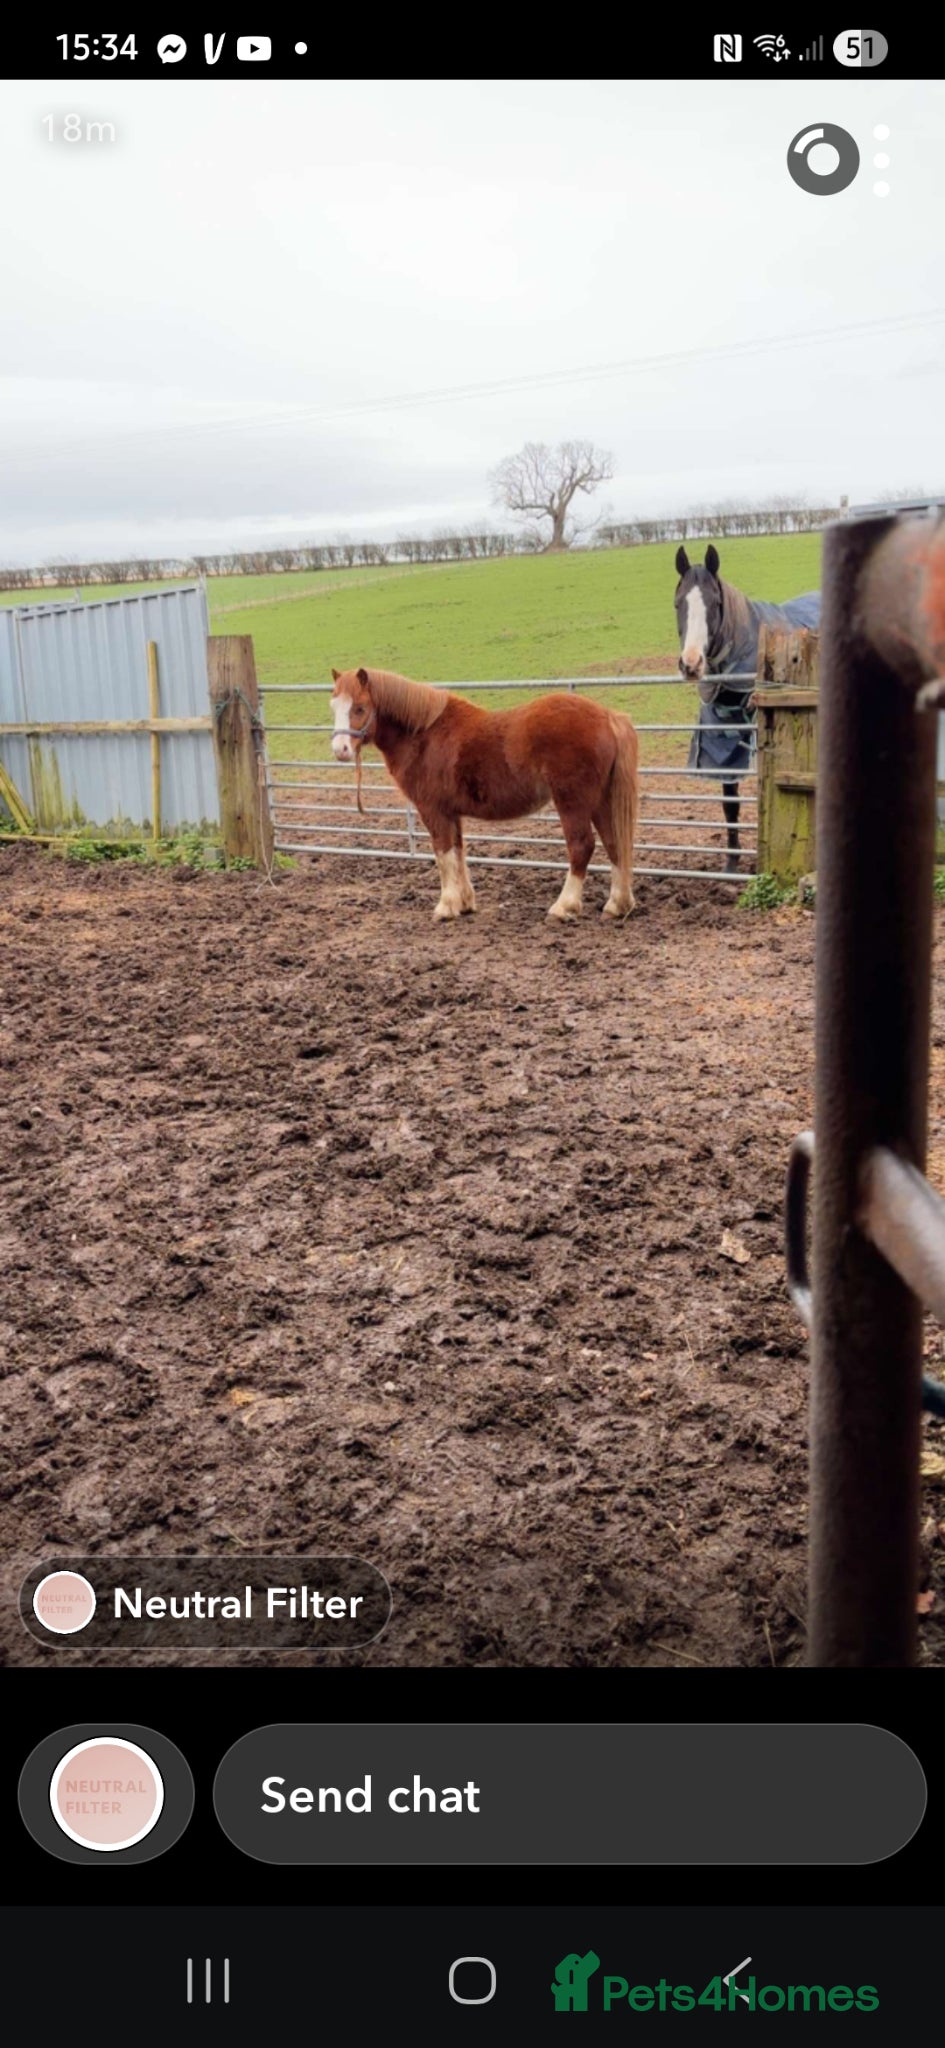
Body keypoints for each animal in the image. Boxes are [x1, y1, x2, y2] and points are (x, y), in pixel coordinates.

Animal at [329, 666, 639, 923]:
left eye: (360, 708)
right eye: (333, 705)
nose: (340, 750)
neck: (423, 734)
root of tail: (608, 717)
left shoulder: (433, 811)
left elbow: (443, 855)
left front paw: (446, 907)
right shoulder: (452, 813)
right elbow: (458, 852)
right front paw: (465, 903)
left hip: (573, 802)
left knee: (581, 846)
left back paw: (563, 907)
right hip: (600, 802)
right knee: (615, 843)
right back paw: (617, 905)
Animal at [674, 545, 821, 871]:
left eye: (715, 603)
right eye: (678, 603)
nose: (691, 664)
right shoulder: (722, 748)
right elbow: (730, 803)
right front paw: (731, 863)